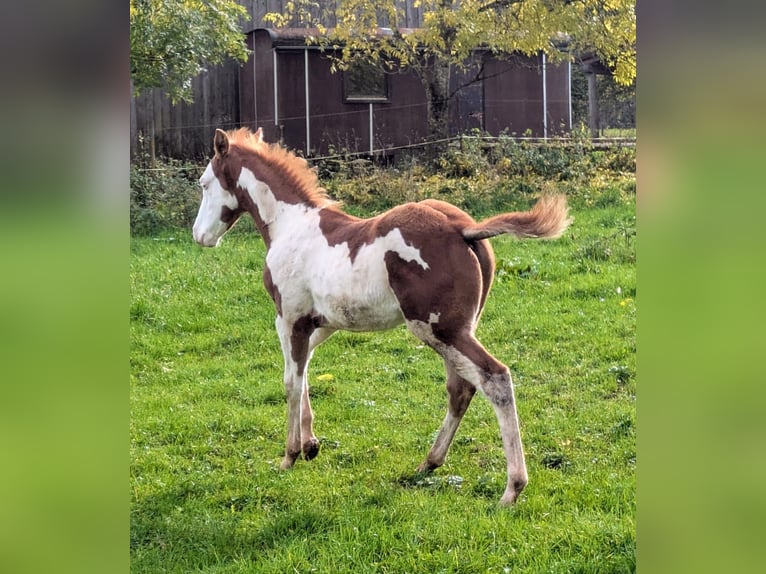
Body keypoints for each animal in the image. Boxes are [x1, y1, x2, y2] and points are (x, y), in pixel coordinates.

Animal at [195, 128, 572, 506]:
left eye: (204, 183)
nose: (200, 236)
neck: (292, 226)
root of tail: (464, 228)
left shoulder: (290, 318)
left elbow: (291, 381)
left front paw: (290, 455)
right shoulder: (322, 322)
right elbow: (305, 370)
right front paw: (311, 444)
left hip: (438, 329)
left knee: (495, 378)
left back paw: (512, 487)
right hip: (457, 329)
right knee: (461, 388)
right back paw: (430, 462)